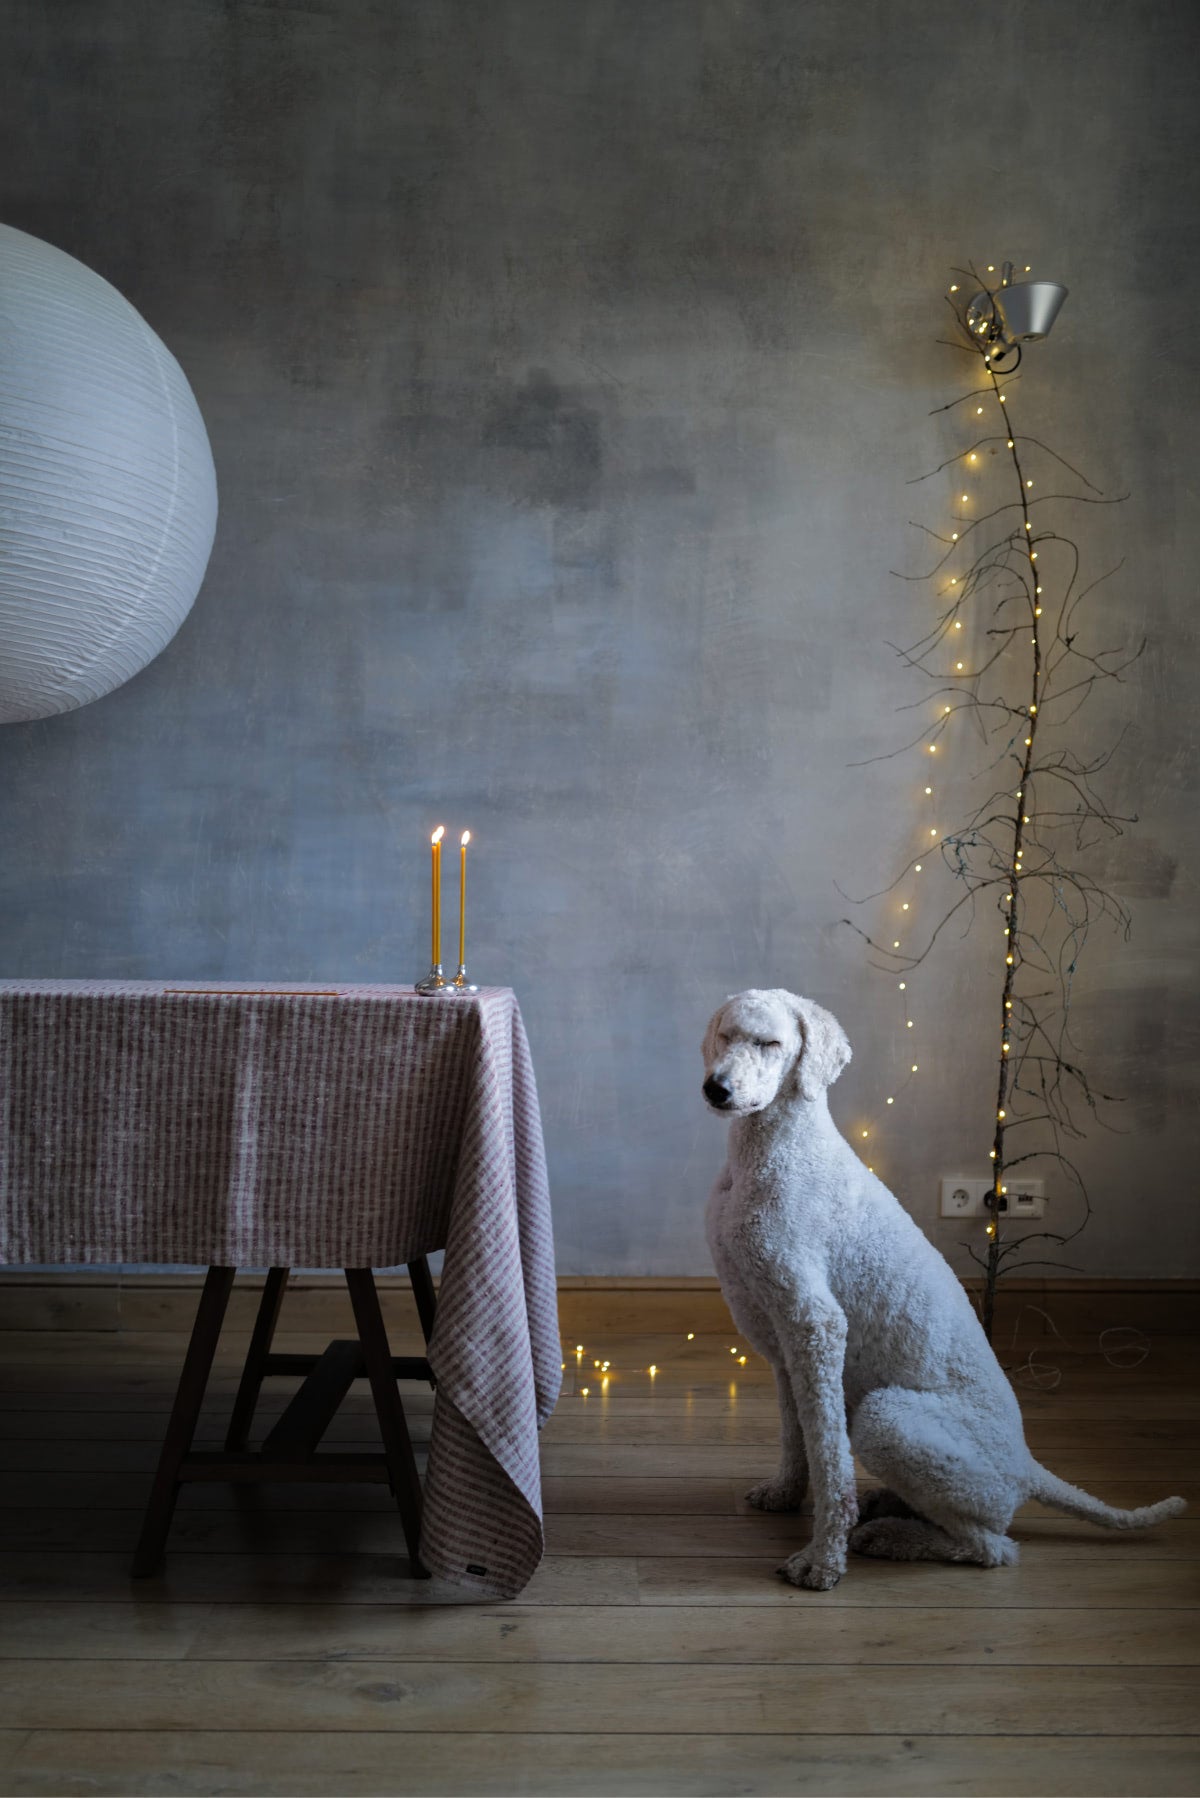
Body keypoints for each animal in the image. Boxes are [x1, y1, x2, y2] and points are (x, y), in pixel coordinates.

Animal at [698, 992, 1187, 1596]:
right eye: (725, 1036)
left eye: (771, 1044)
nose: (716, 1089)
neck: (773, 1148)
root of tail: (1028, 1467)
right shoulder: (781, 1342)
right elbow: (801, 1436)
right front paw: (787, 1492)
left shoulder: (816, 1327)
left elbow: (831, 1459)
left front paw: (822, 1559)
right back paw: (888, 1508)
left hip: (889, 1420)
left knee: (993, 1546)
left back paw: (891, 1536)